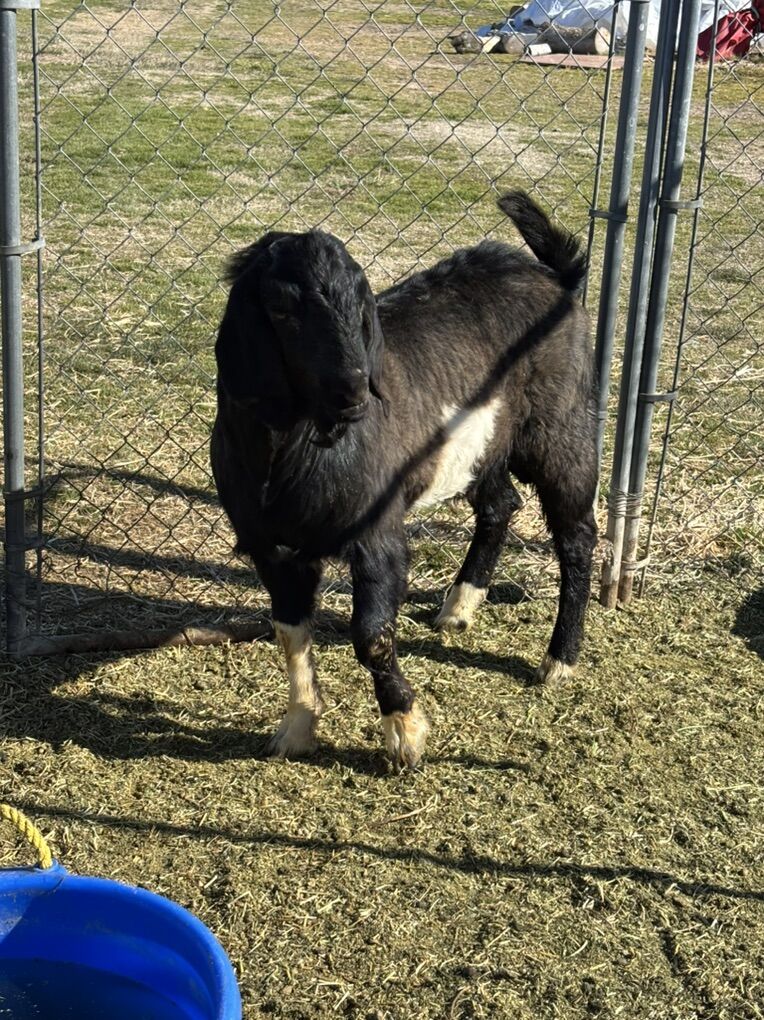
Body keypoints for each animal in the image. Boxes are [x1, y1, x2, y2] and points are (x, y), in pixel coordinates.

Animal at [211, 192, 598, 770]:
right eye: (280, 309)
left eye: (361, 302)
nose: (353, 389)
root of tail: (557, 276)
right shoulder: (271, 546)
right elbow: (289, 632)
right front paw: (297, 727)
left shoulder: (377, 532)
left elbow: (370, 634)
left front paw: (405, 732)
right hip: (482, 445)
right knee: (501, 504)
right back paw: (458, 608)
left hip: (560, 427)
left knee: (576, 535)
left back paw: (558, 660)